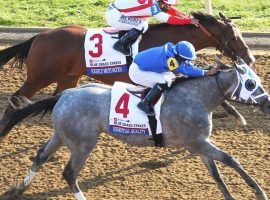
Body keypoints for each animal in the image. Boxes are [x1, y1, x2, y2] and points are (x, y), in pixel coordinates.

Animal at [0, 11, 253, 139]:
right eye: (233, 37)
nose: (249, 58)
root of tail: (39, 37)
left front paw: (239, 117)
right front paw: (239, 118)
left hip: (68, 78)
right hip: (38, 78)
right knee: (15, 101)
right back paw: (4, 132)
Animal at [2, 59, 270, 200]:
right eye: (250, 83)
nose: (267, 103)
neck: (198, 97)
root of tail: (65, 94)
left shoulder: (200, 144)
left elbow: (217, 174)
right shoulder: (198, 142)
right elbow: (232, 160)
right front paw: (259, 191)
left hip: (61, 134)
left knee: (41, 155)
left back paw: (20, 187)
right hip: (83, 144)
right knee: (69, 172)